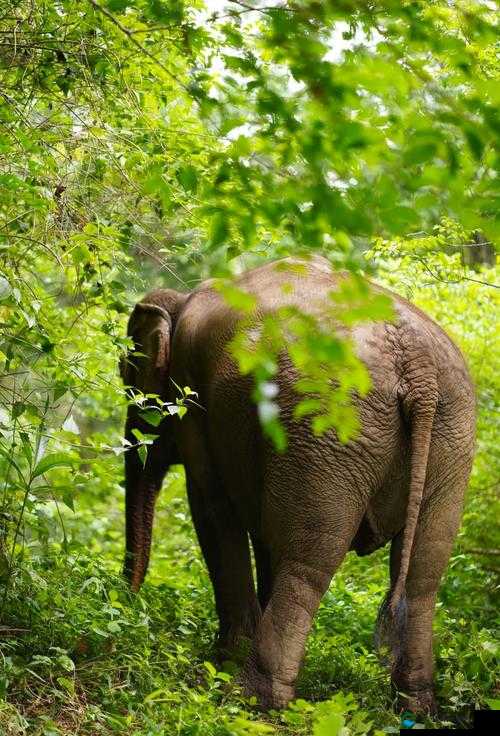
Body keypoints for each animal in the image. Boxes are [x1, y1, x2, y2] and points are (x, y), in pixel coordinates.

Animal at [119, 257, 475, 714]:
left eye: (127, 376)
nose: (128, 600)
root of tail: (418, 364)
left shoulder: (193, 396)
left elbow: (213, 510)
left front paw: (224, 659)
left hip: (329, 431)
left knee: (307, 563)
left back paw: (253, 697)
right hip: (452, 437)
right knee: (425, 571)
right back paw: (415, 705)